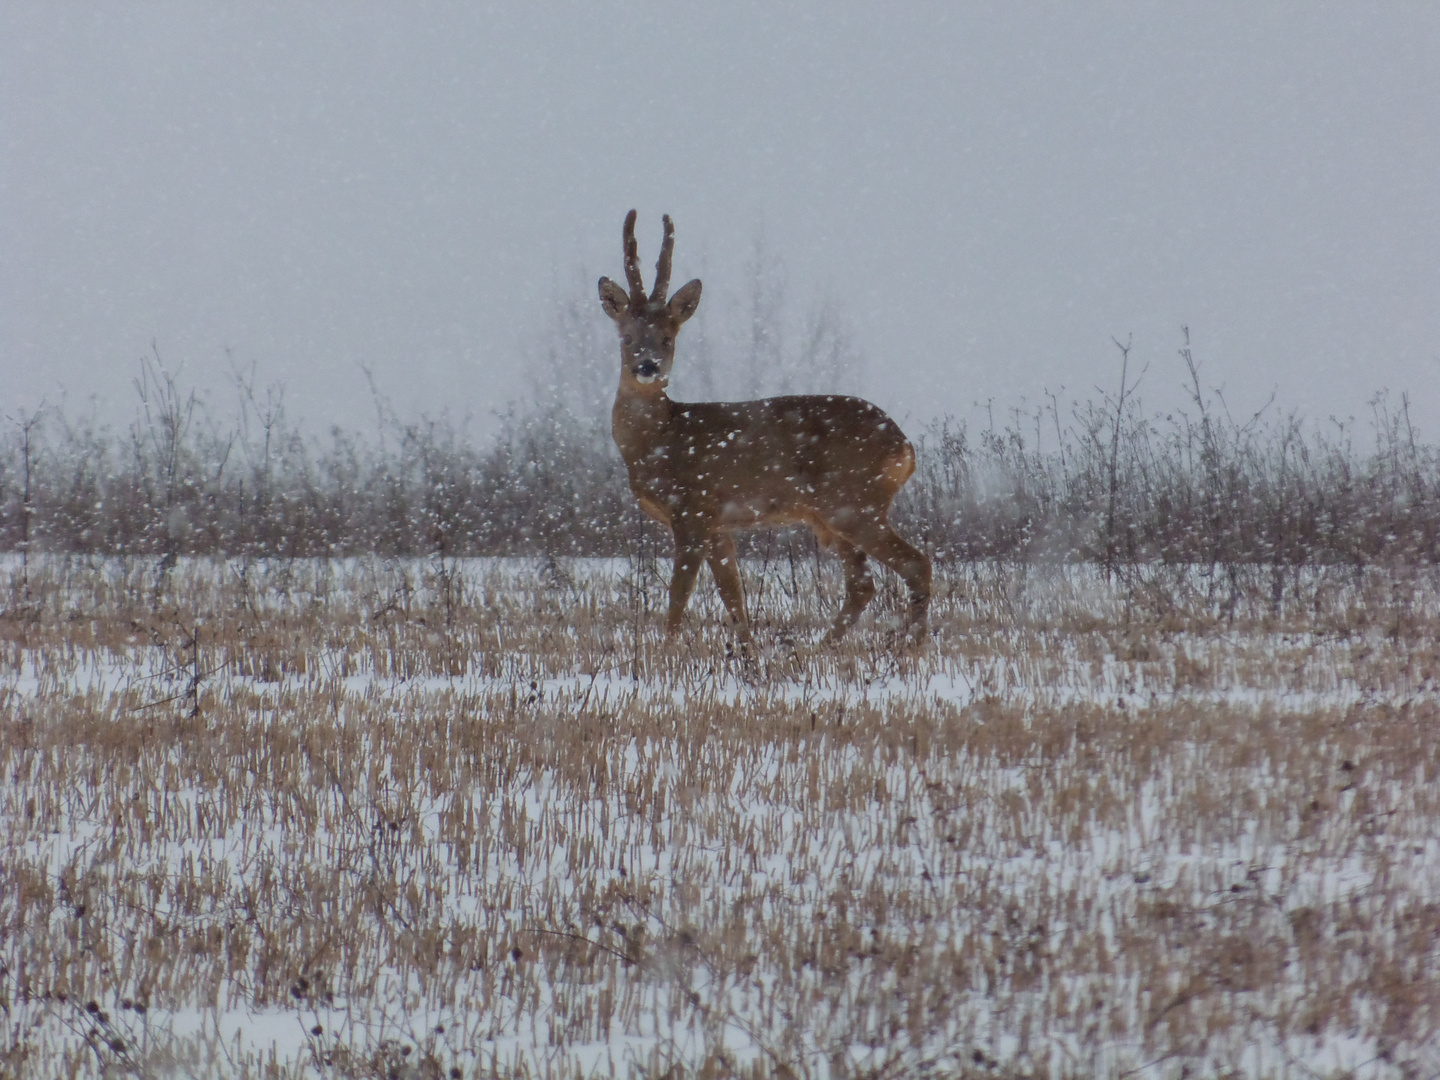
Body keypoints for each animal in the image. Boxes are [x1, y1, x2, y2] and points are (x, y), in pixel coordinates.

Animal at [599, 216, 927, 648]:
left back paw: (910, 649)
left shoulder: (693, 509)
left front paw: (665, 655)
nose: (648, 367)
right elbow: (733, 597)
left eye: (668, 338)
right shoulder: (718, 525)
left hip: (854, 503)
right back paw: (820, 650)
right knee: (863, 583)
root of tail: (905, 448)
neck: (658, 441)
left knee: (915, 564)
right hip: (833, 514)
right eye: (627, 338)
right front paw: (749, 657)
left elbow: (678, 596)